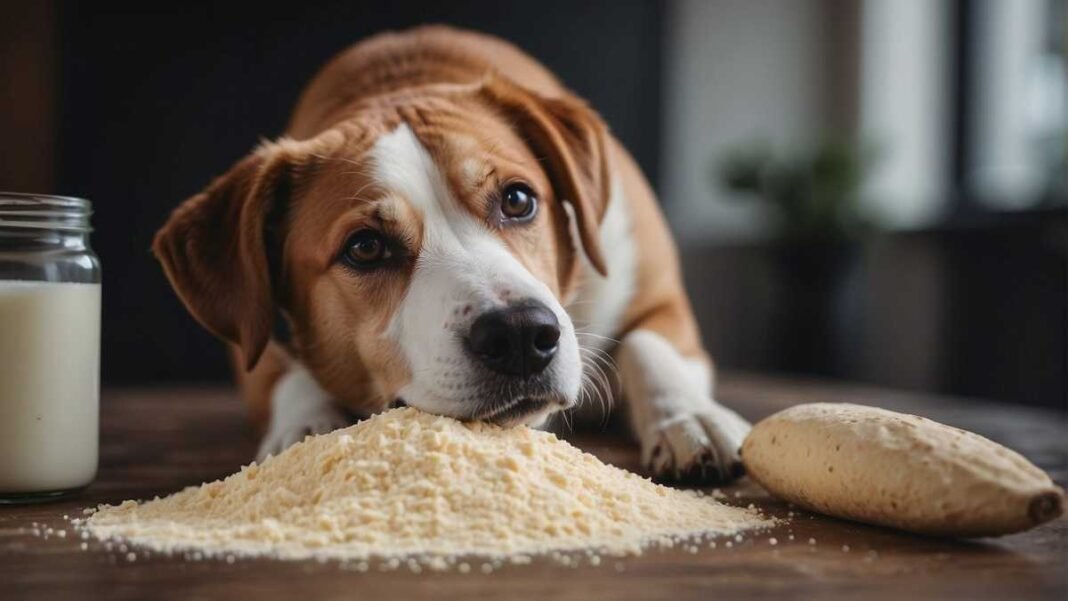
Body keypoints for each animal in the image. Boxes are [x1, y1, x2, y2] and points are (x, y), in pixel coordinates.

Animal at [152, 25, 751, 484]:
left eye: (517, 199)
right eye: (365, 247)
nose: (520, 335)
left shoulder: (655, 292)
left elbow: (651, 347)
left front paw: (689, 419)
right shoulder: (248, 343)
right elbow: (287, 375)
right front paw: (307, 428)